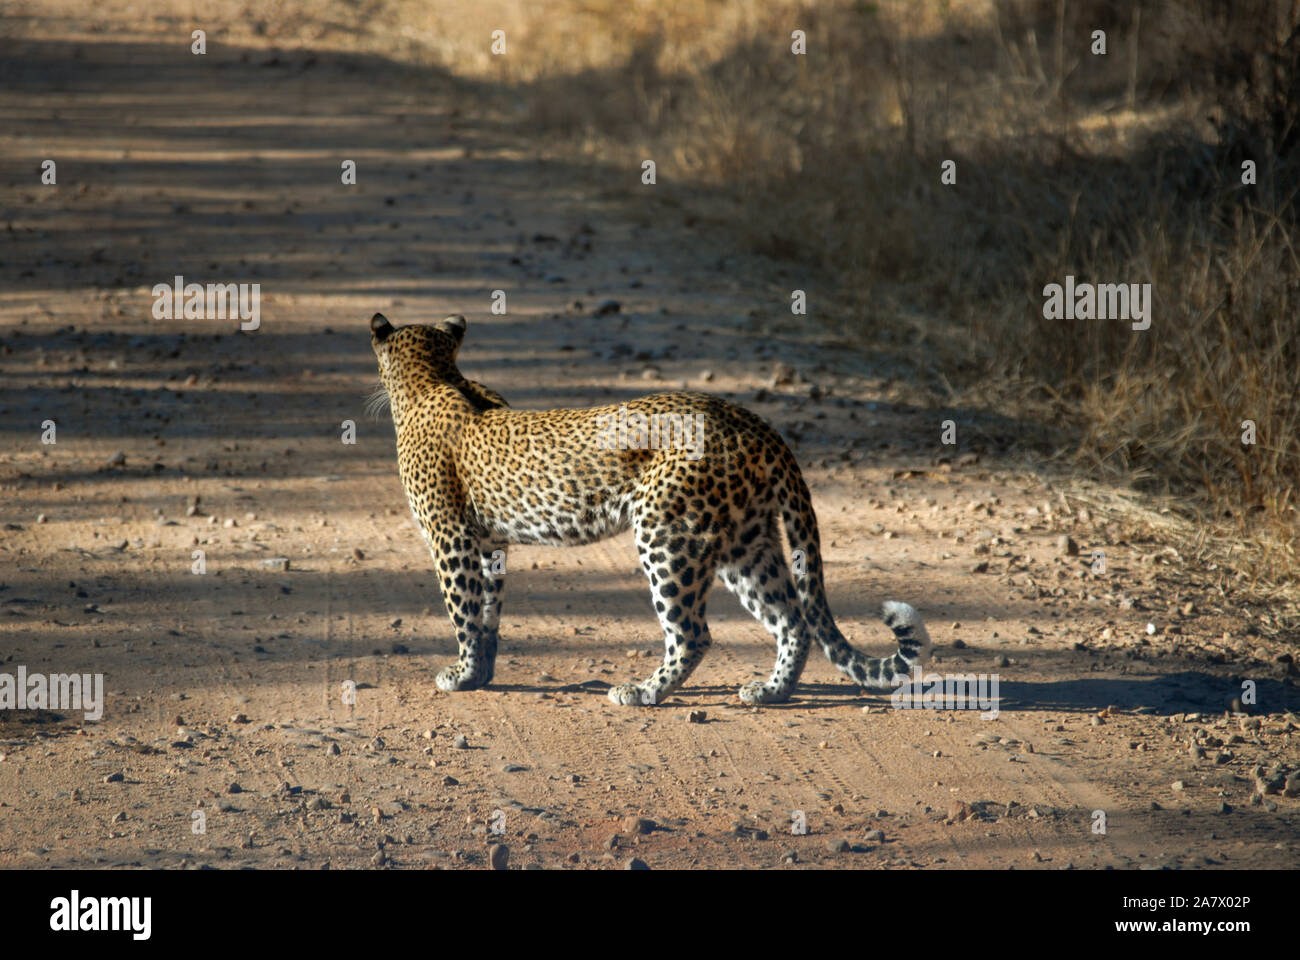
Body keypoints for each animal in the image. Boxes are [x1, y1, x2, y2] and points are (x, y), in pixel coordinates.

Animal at [371, 314, 930, 702]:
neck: (431, 377)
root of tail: (749, 419)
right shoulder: (488, 544)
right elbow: (487, 611)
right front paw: (481, 673)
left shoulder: (451, 539)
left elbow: (462, 610)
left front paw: (462, 675)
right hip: (747, 541)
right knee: (792, 618)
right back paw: (771, 692)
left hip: (666, 533)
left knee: (693, 634)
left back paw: (642, 692)